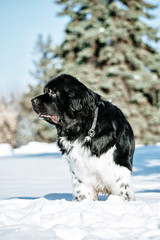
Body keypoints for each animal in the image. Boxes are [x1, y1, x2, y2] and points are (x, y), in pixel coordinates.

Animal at [31, 74, 135, 202]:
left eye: (52, 92)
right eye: (45, 91)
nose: (32, 100)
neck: (84, 128)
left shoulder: (118, 168)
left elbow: (123, 189)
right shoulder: (80, 170)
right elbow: (82, 191)